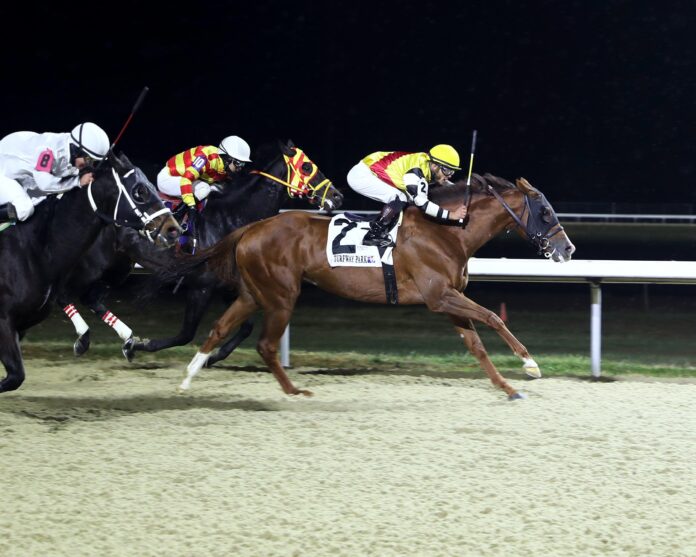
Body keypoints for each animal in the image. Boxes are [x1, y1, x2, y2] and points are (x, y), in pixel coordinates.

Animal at [0, 152, 182, 394]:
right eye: (140, 191)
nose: (174, 230)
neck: (36, 246)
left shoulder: (22, 324)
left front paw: (128, 341)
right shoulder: (5, 321)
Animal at [56, 139, 342, 364]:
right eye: (306, 167)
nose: (337, 197)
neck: (231, 219)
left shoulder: (229, 287)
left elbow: (246, 328)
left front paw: (213, 357)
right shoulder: (200, 287)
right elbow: (186, 334)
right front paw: (144, 344)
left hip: (116, 268)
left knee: (91, 297)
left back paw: (121, 337)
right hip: (92, 264)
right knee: (63, 293)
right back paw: (89, 339)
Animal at [170, 174, 576, 400]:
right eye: (545, 212)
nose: (568, 250)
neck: (447, 232)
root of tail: (250, 228)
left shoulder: (449, 299)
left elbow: (476, 346)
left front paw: (508, 388)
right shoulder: (440, 296)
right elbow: (494, 317)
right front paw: (530, 364)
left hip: (253, 293)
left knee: (218, 328)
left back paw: (187, 380)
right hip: (281, 296)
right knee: (266, 345)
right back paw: (293, 391)